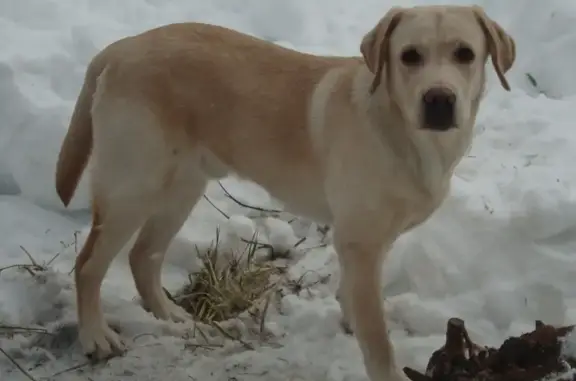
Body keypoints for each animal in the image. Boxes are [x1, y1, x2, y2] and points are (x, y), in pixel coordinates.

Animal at [53, 3, 512, 380]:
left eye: (465, 54)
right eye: (409, 56)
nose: (439, 99)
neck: (408, 135)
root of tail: (121, 47)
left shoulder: (366, 242)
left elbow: (354, 299)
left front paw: (349, 323)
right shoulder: (361, 240)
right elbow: (379, 339)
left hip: (182, 187)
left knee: (143, 256)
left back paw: (171, 316)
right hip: (133, 186)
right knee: (88, 265)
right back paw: (96, 337)